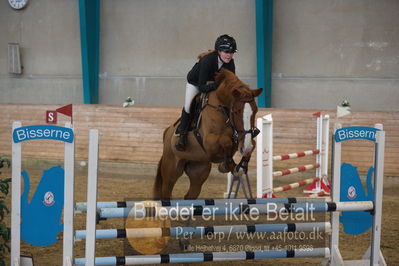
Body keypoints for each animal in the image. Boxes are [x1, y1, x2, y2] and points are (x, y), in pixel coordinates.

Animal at [155, 68, 264, 200]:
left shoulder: (241, 138)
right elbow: (226, 141)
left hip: (199, 170)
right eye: (236, 111)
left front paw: (241, 166)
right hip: (171, 171)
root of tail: (167, 132)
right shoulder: (209, 142)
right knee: (166, 191)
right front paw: (227, 165)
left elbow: (253, 144)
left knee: (190, 195)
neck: (223, 109)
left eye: (255, 111)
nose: (245, 146)